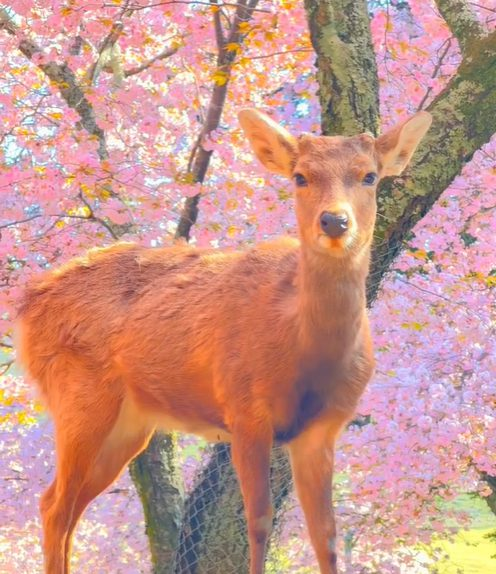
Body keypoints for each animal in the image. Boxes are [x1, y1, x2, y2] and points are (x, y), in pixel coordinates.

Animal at [17, 106, 432, 572]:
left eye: (370, 176)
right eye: (300, 177)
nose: (334, 221)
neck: (304, 352)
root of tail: (26, 305)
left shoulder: (323, 429)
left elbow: (326, 535)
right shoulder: (244, 408)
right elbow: (259, 521)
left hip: (129, 424)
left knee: (64, 505)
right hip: (76, 397)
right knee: (56, 505)